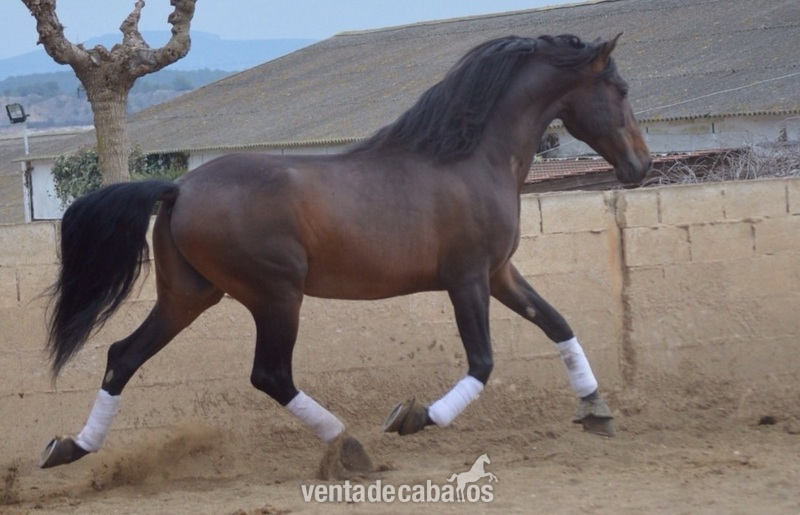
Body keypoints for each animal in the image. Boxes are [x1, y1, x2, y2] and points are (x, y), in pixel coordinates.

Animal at [39, 33, 651, 474]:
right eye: (620, 89)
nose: (640, 166)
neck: (471, 158)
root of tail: (178, 188)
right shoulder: (469, 279)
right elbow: (482, 362)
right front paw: (411, 416)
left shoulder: (500, 273)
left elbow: (558, 323)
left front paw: (596, 410)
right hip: (275, 295)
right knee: (270, 376)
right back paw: (350, 446)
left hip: (189, 296)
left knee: (122, 355)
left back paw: (69, 447)